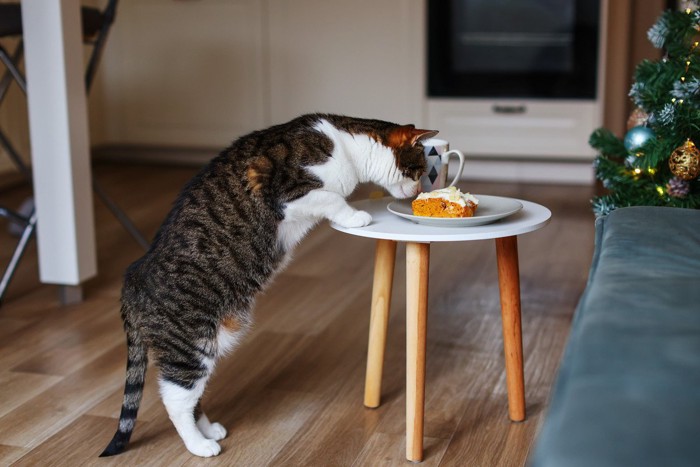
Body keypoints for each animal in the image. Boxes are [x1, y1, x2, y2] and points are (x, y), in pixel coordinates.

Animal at [98, 113, 438, 458]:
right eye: (419, 170)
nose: (417, 192)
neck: (346, 145)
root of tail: (133, 277)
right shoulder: (289, 193)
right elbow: (333, 198)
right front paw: (357, 216)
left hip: (213, 342)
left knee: (191, 394)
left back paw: (210, 429)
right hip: (191, 344)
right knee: (175, 400)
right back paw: (200, 445)